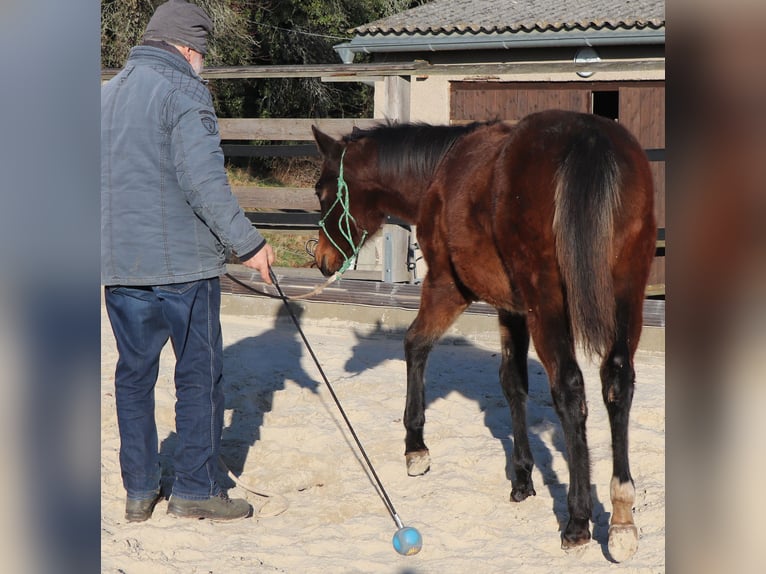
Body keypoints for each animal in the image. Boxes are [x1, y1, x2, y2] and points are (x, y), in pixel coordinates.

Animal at [311, 110, 656, 561]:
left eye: (321, 192)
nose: (320, 259)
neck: (439, 171)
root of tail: (588, 137)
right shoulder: (512, 309)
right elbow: (513, 383)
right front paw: (522, 478)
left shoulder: (448, 286)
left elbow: (415, 343)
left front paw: (415, 447)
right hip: (626, 296)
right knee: (617, 384)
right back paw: (621, 518)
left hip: (547, 303)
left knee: (569, 388)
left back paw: (579, 521)